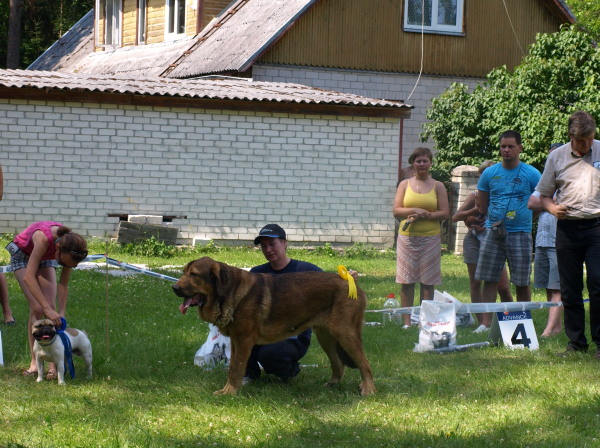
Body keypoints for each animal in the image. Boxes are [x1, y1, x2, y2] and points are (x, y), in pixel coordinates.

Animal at [171, 256, 376, 396]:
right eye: (183, 273)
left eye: (194, 275)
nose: (174, 288)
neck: (229, 292)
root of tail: (351, 281)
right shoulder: (237, 342)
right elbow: (233, 369)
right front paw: (230, 389)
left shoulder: (244, 341)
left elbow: (236, 369)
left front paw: (230, 393)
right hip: (326, 337)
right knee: (338, 363)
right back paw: (333, 384)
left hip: (346, 334)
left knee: (365, 363)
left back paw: (368, 390)